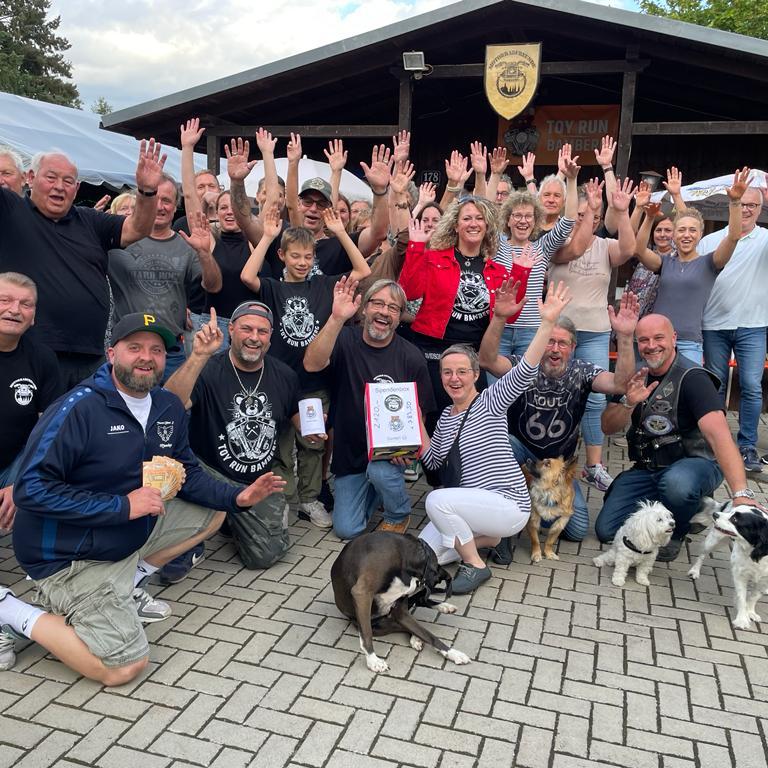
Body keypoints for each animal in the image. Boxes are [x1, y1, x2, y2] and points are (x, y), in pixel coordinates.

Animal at [332, 536, 472, 672]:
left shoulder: (401, 609)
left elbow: (429, 635)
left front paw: (453, 653)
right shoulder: (362, 593)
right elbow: (367, 633)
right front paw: (373, 660)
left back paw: (443, 608)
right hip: (378, 625)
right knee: (399, 624)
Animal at [688, 498, 768, 632]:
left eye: (735, 519)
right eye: (732, 514)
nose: (715, 515)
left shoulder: (765, 581)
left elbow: (754, 596)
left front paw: (751, 612)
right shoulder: (740, 574)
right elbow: (742, 597)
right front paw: (742, 620)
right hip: (713, 540)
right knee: (702, 554)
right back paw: (695, 571)